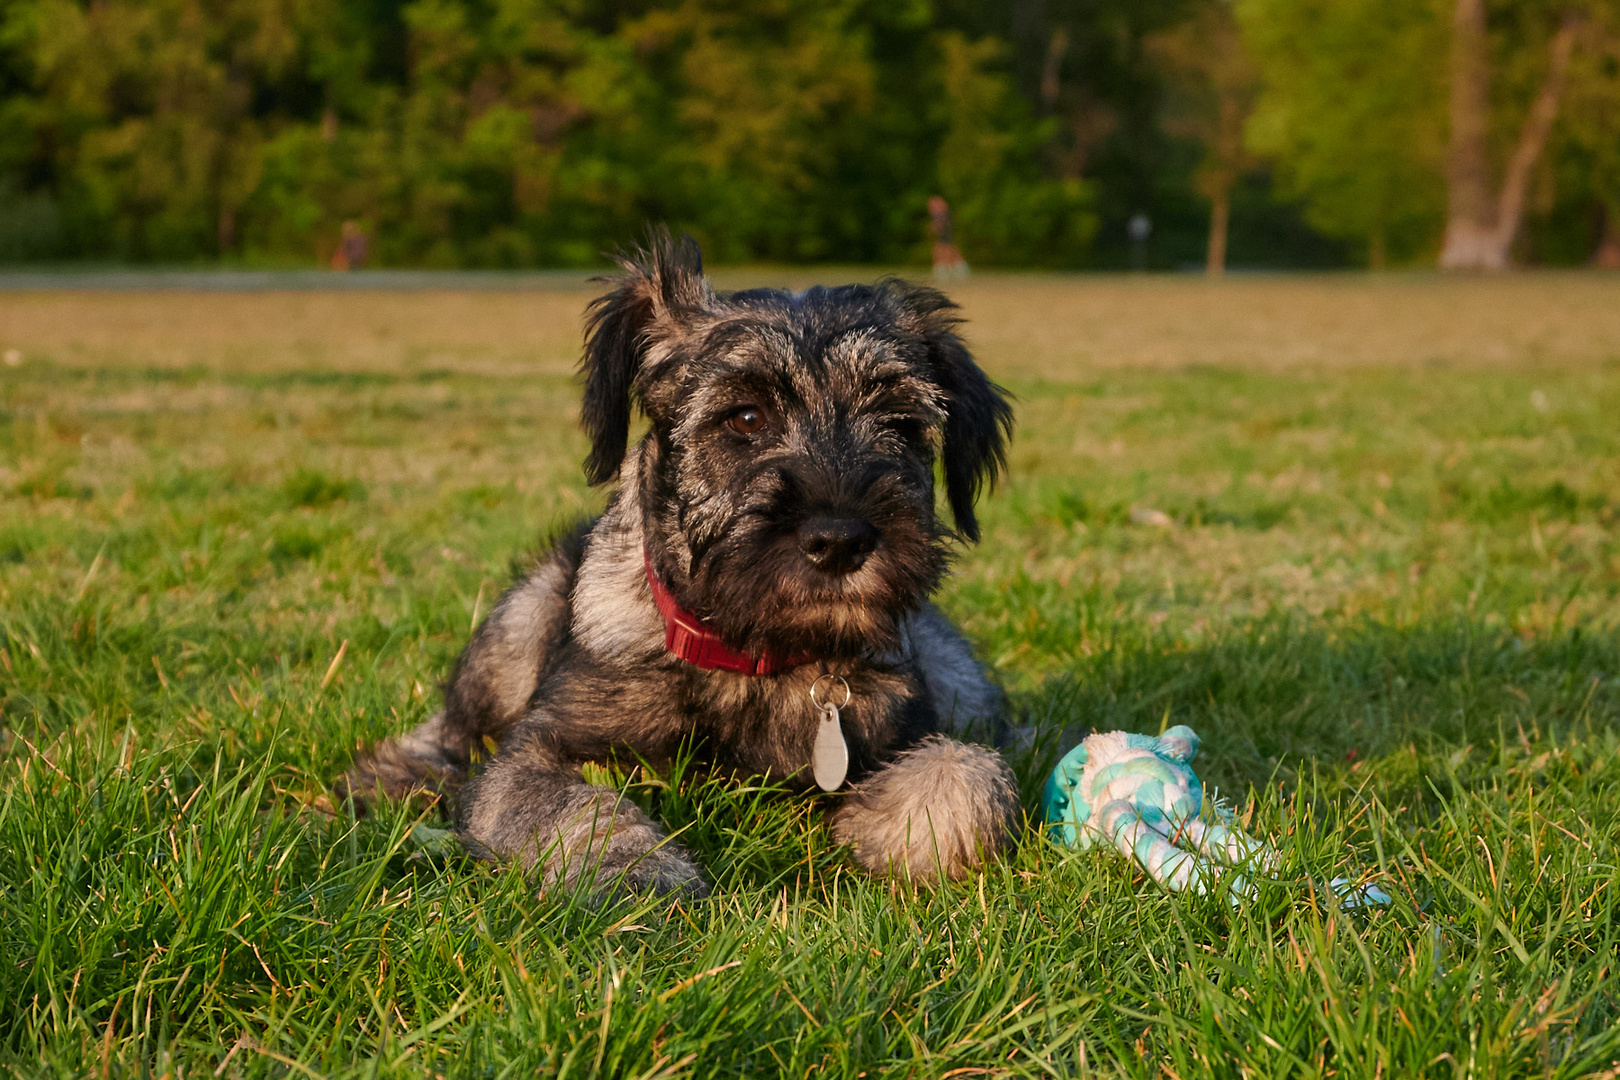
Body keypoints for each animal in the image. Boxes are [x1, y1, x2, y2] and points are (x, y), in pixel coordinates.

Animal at [336, 228, 1017, 893]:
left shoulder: (913, 726)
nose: (841, 541)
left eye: (900, 423)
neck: (754, 654)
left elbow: (969, 773)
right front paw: (641, 875)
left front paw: (885, 831)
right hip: (522, 620)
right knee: (448, 732)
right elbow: (573, 808)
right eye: (745, 417)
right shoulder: (534, 753)